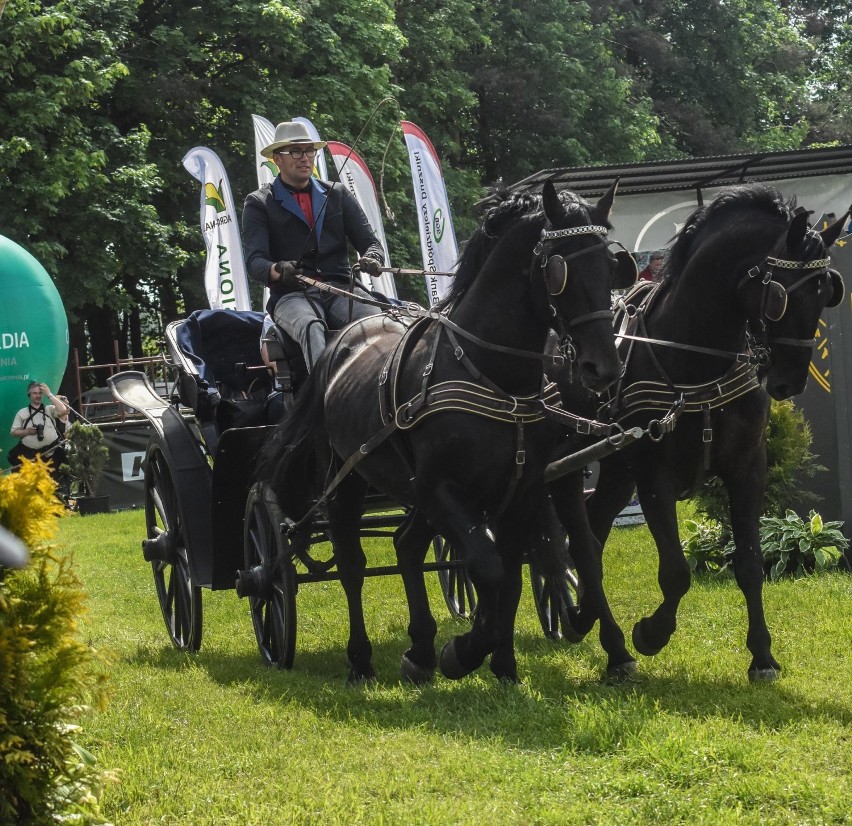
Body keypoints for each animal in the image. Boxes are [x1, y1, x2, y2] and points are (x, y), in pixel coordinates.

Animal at [262, 180, 636, 684]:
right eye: (559, 269)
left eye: (611, 267)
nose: (604, 368)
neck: (493, 374)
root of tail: (345, 336)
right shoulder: (442, 487)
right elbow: (489, 566)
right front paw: (465, 651)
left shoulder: (523, 488)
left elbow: (516, 570)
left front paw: (502, 662)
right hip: (345, 481)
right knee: (353, 565)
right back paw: (361, 659)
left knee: (406, 546)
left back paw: (419, 650)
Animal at [544, 183, 844, 680]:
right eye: (780, 297)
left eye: (827, 292)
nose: (789, 382)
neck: (695, 357)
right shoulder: (654, 475)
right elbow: (676, 573)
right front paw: (650, 633)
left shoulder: (747, 467)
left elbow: (750, 563)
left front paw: (762, 656)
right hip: (567, 468)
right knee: (581, 542)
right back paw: (609, 643)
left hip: (615, 468)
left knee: (596, 528)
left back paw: (585, 617)